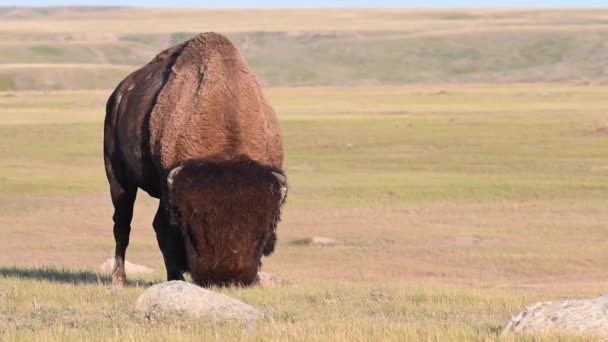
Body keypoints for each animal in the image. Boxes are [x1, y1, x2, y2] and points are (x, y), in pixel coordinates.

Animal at [102, 33, 288, 288]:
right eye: (189, 228)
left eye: (264, 229)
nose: (224, 277)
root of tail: (119, 95)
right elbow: (163, 231)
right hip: (118, 178)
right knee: (122, 225)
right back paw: (120, 280)